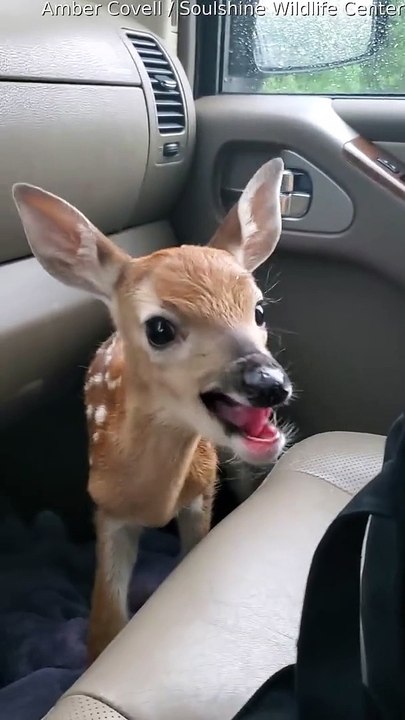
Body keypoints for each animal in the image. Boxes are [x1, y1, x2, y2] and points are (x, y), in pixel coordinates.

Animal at [12, 156, 293, 662]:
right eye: (159, 328)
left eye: (259, 310)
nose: (268, 384)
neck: (150, 500)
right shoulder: (106, 508)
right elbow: (105, 627)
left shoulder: (202, 489)